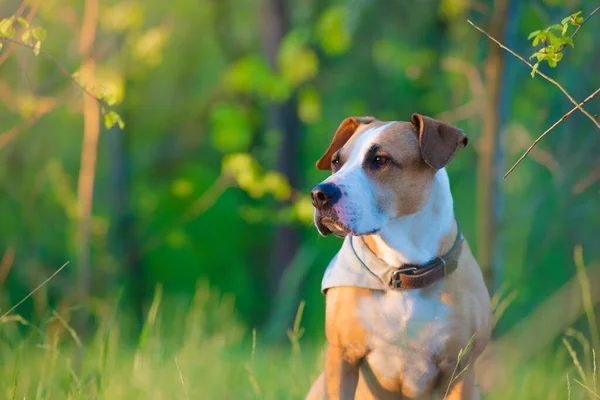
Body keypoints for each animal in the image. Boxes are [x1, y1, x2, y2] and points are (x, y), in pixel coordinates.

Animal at [308, 114, 490, 398]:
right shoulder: (342, 357)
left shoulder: (460, 369)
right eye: (337, 162)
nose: (319, 194)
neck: (404, 269)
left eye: (380, 160)